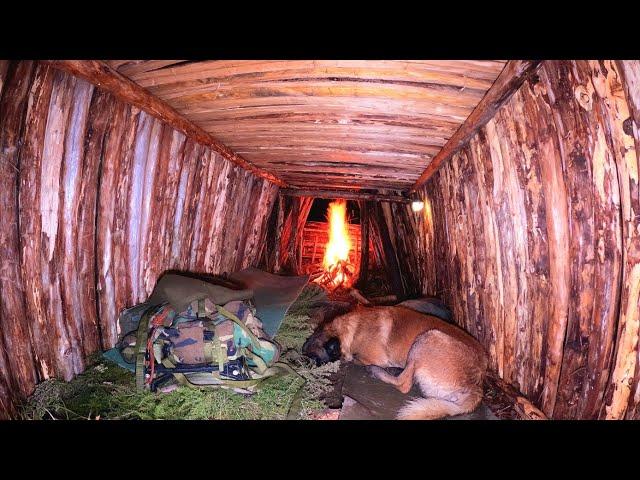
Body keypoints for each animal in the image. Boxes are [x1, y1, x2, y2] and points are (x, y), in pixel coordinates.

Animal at [302, 306, 488, 418]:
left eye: (314, 359)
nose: (303, 372)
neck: (352, 330)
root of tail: (476, 386)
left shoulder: (371, 357)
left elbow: (354, 360)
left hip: (427, 338)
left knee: (404, 384)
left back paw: (378, 371)